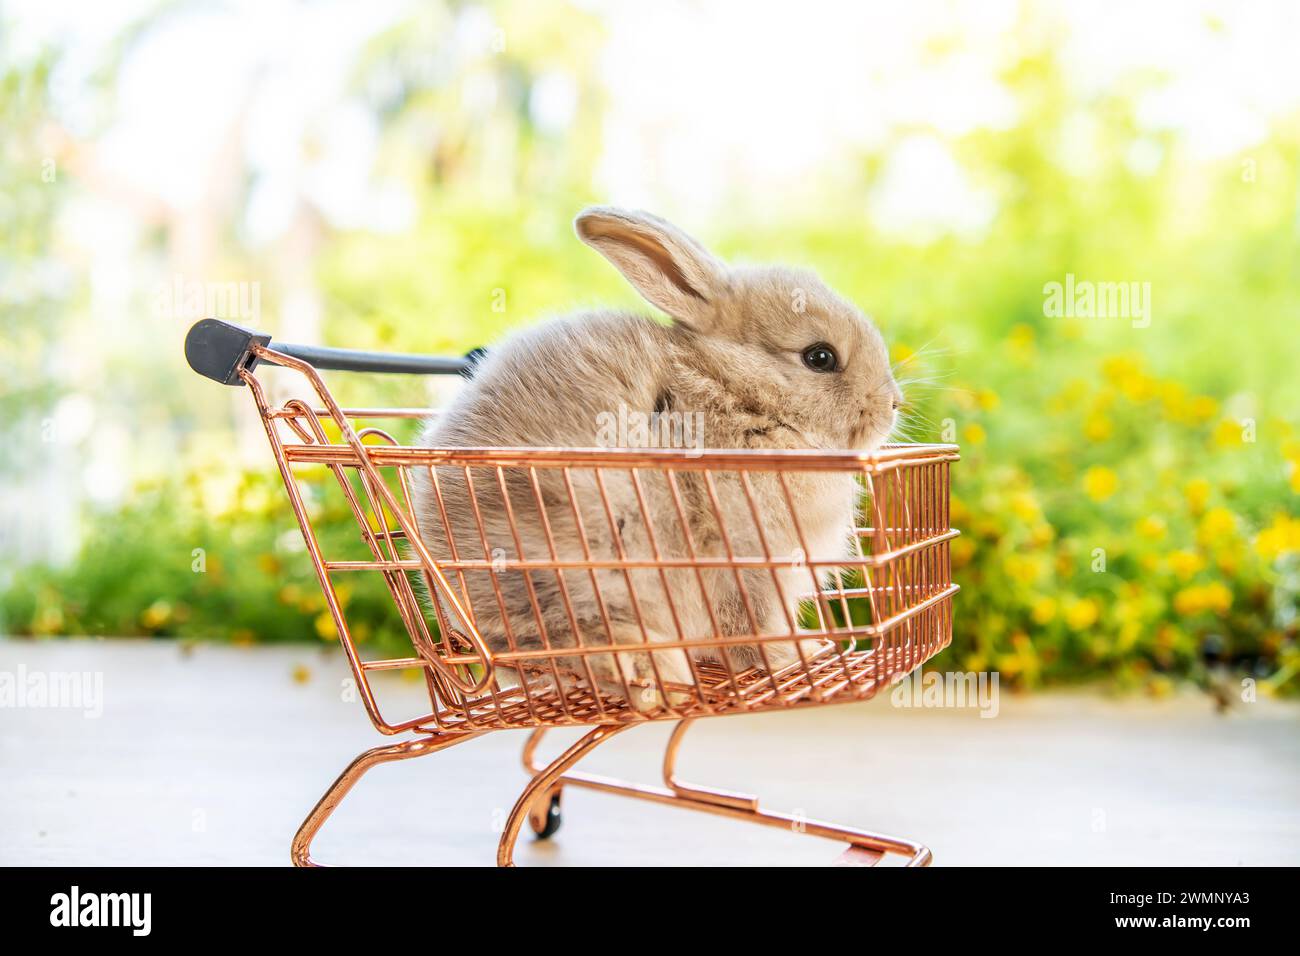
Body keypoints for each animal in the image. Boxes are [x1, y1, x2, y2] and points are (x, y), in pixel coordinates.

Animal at [410, 207, 901, 712]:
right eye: (820, 357)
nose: (892, 406)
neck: (741, 393)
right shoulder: (748, 565)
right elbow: (753, 629)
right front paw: (794, 655)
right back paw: (650, 672)